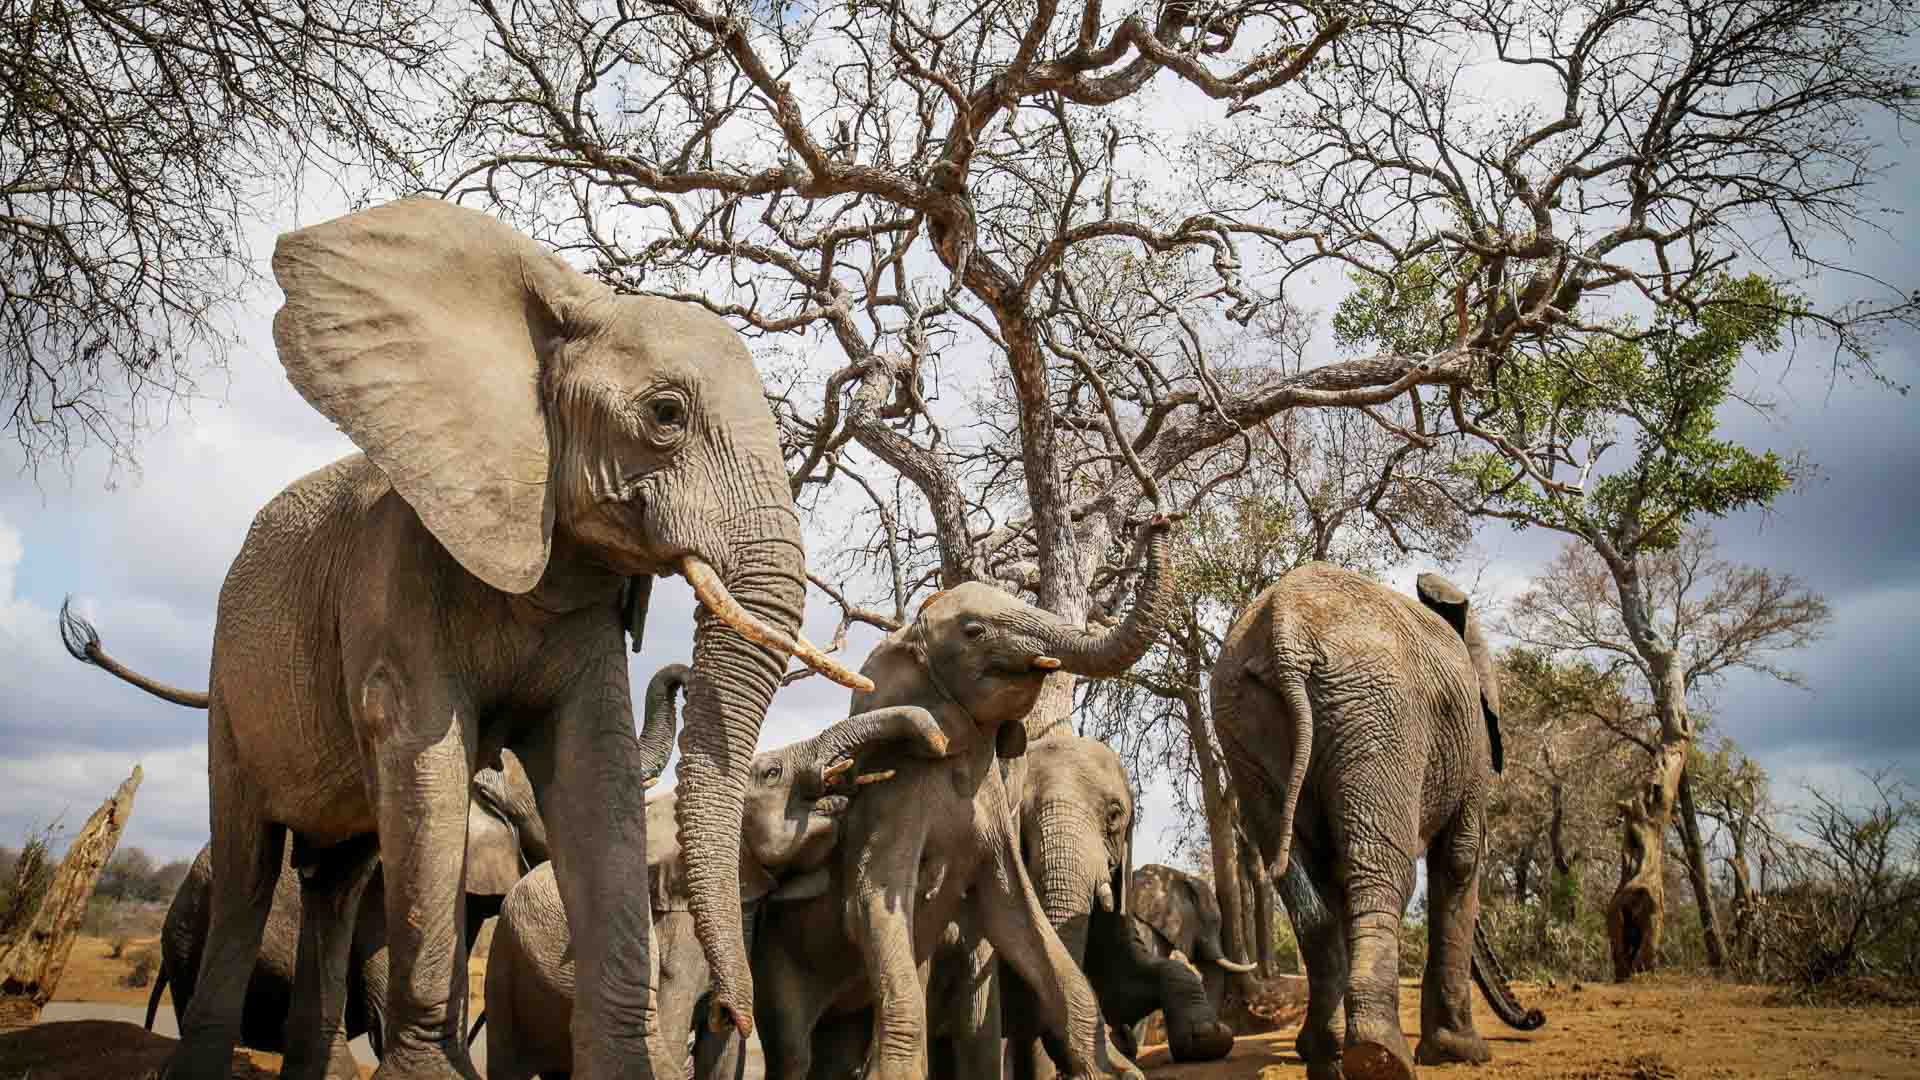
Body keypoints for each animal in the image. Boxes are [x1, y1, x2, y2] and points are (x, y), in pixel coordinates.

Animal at [478, 672, 945, 1080]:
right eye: (772, 773)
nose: (940, 743)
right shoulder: (675, 933)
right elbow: (671, 1019)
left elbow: (725, 1052)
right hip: (503, 964)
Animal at [748, 517, 1175, 1080]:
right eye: (974, 632)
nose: (1158, 520)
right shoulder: (894, 800)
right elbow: (872, 902)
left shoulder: (989, 810)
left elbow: (1016, 912)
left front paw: (1116, 1074)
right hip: (777, 959)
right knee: (795, 1050)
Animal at [1210, 563, 1546, 1080]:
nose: (1535, 1016)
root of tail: (1284, 630)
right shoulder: (1471, 744)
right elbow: (1461, 859)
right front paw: (1460, 1054)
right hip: (1378, 715)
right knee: (1383, 873)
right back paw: (1379, 1057)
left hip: (1247, 724)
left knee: (1308, 894)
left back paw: (1330, 1057)